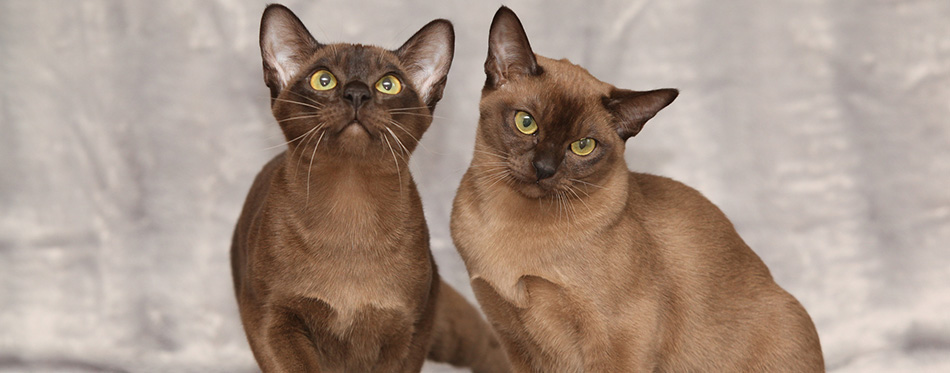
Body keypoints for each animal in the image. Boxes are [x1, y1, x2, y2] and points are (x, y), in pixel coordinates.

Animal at [231, 4, 510, 370]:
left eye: (388, 84)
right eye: (323, 80)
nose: (356, 93)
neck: (351, 204)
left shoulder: (410, 328)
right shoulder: (272, 320)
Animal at [452, 6, 824, 372]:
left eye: (583, 146)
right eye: (526, 122)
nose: (544, 169)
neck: (508, 225)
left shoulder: (620, 334)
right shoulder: (512, 338)